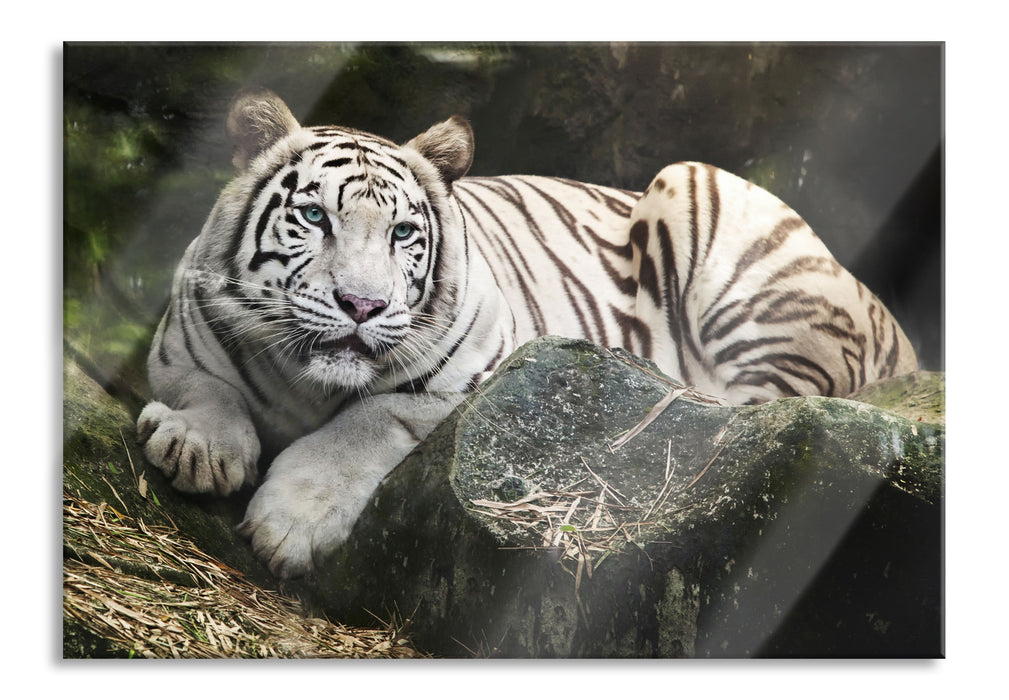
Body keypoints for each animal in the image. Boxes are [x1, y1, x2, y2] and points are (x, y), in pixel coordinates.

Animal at [136, 88, 918, 579]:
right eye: (314, 217)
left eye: (402, 234)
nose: (361, 304)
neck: (306, 380)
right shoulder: (181, 339)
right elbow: (205, 387)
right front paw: (197, 446)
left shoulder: (467, 371)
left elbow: (366, 423)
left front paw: (290, 525)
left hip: (709, 203)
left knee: (759, 408)